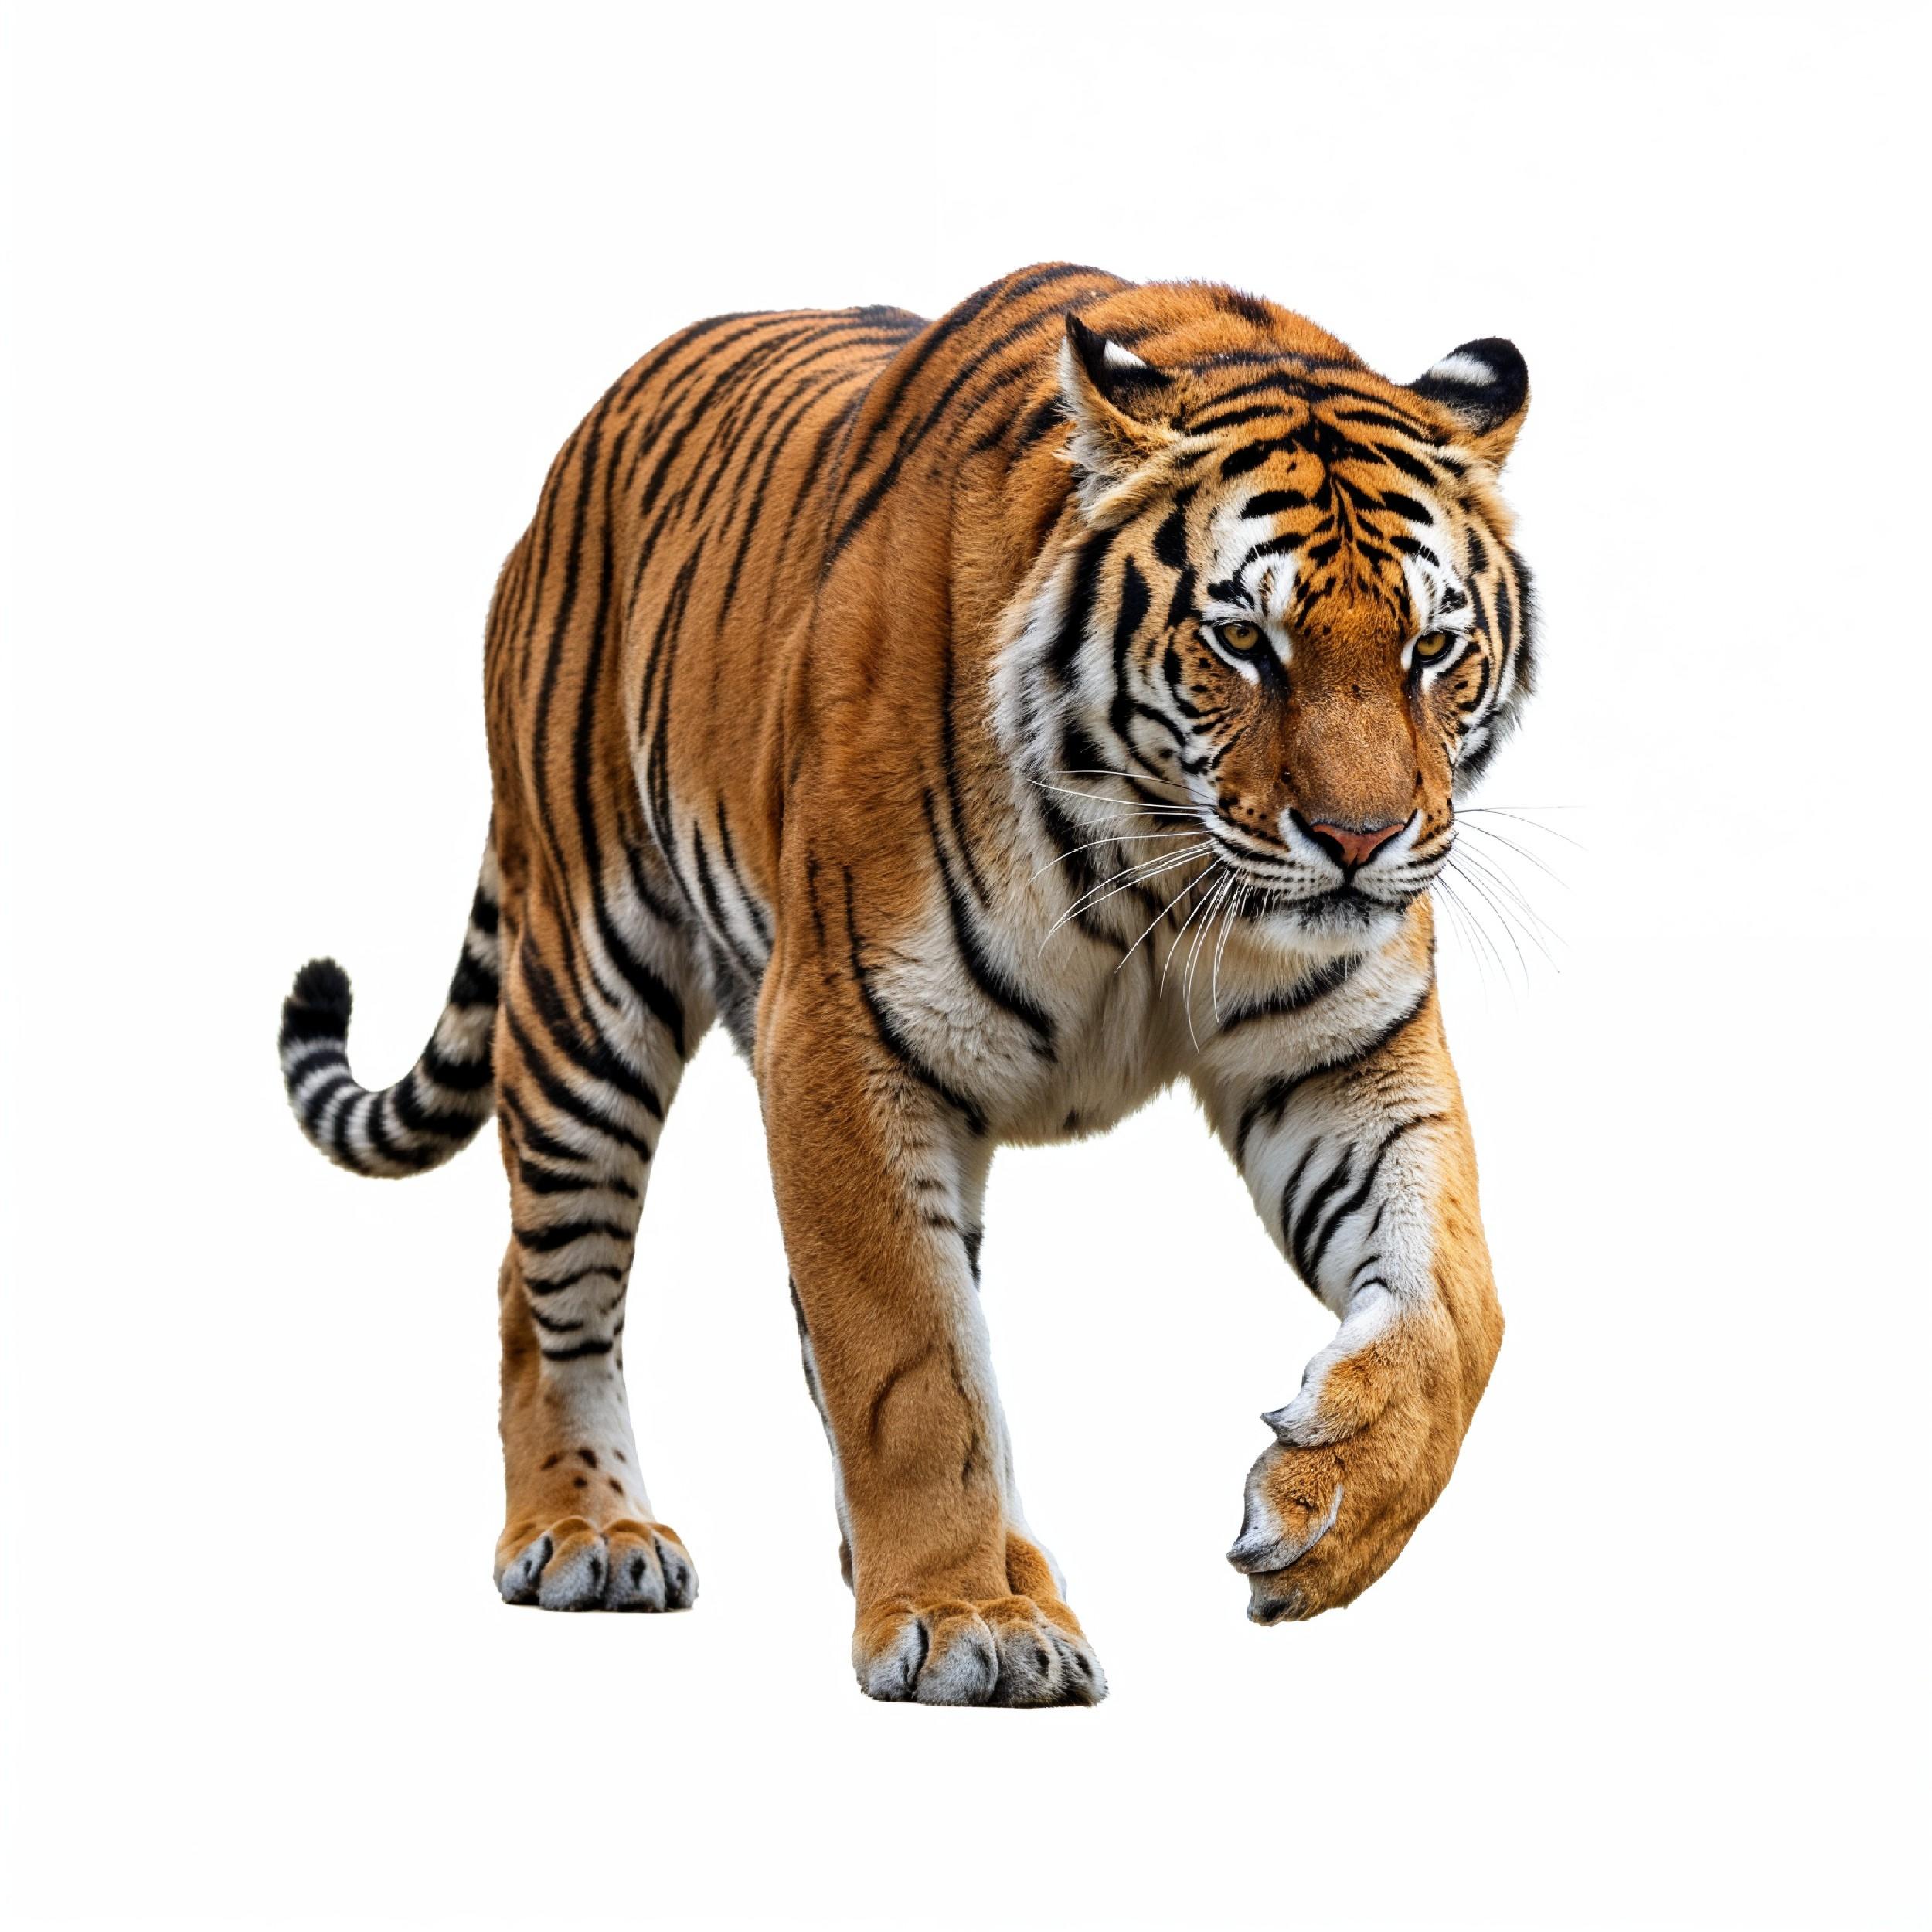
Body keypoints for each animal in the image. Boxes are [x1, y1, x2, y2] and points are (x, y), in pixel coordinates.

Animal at [278, 263, 1534, 1707]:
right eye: (1241, 641)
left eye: (1431, 649)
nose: (1360, 841)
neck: (1152, 872)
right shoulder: (843, 1044)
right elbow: (910, 1364)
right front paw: (957, 1619)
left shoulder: (1345, 1055)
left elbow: (1459, 1307)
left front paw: (1327, 1513)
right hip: (586, 975)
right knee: (545, 1284)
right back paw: (589, 1530)